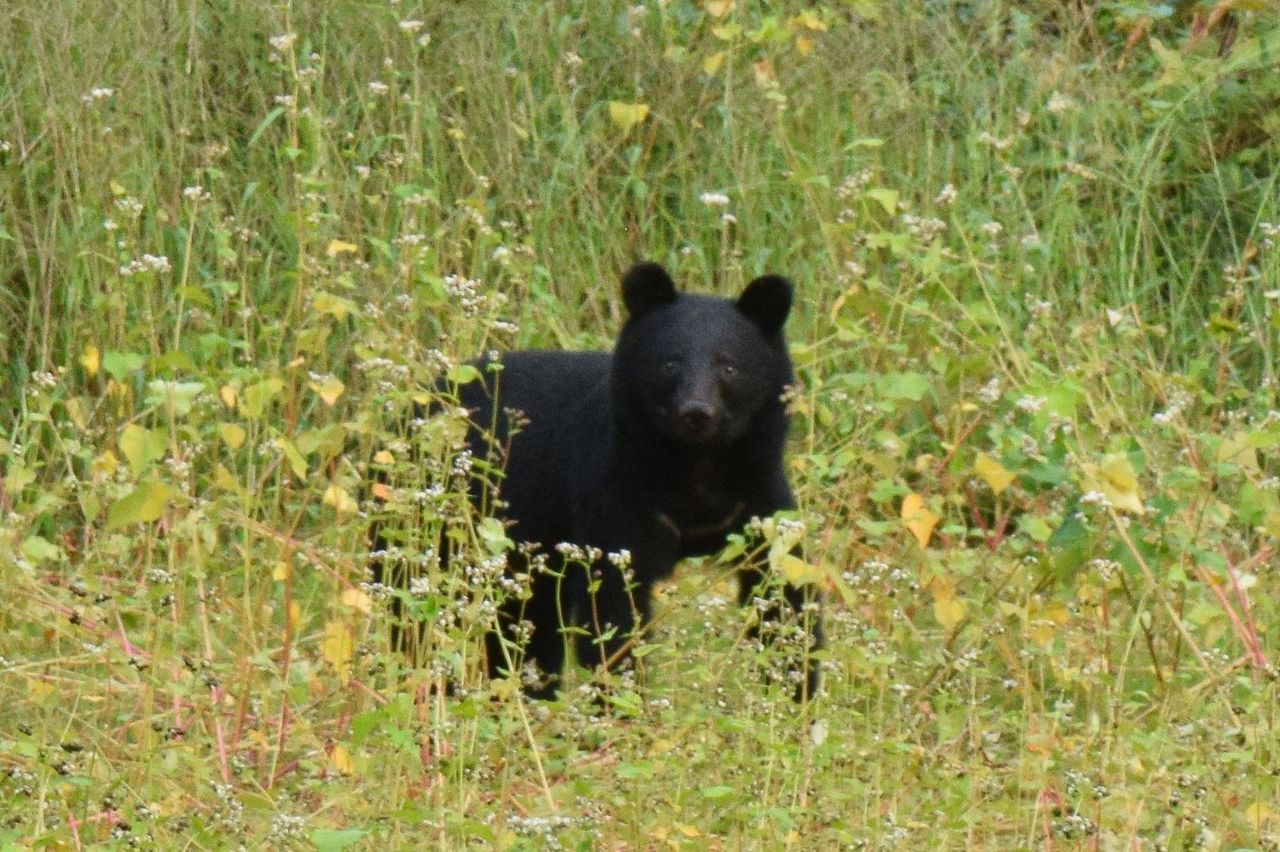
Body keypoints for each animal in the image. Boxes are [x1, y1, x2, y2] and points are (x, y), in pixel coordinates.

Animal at [374, 261, 823, 701]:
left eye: (729, 366)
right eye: (670, 363)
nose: (696, 412)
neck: (695, 461)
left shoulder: (758, 494)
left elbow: (783, 585)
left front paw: (797, 693)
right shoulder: (616, 490)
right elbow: (612, 604)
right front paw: (623, 704)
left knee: (527, 621)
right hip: (428, 510)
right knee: (409, 597)